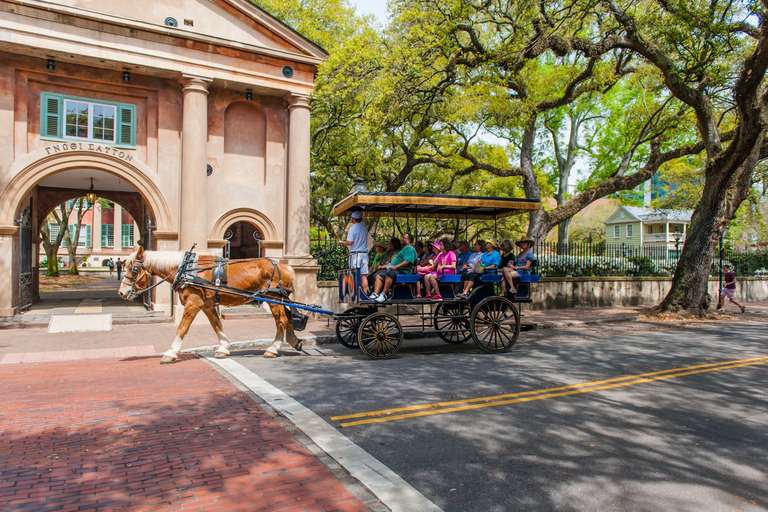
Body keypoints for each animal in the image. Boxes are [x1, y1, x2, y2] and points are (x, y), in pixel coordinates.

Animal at [117, 246, 304, 362]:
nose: (121, 292)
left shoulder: (193, 303)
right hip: (279, 299)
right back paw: (293, 341)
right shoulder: (207, 305)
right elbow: (217, 325)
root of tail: (284, 266)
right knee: (289, 317)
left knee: (281, 321)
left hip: (273, 299)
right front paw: (223, 348)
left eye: (134, 268)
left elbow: (182, 328)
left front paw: (171, 352)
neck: (186, 269)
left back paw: (273, 348)